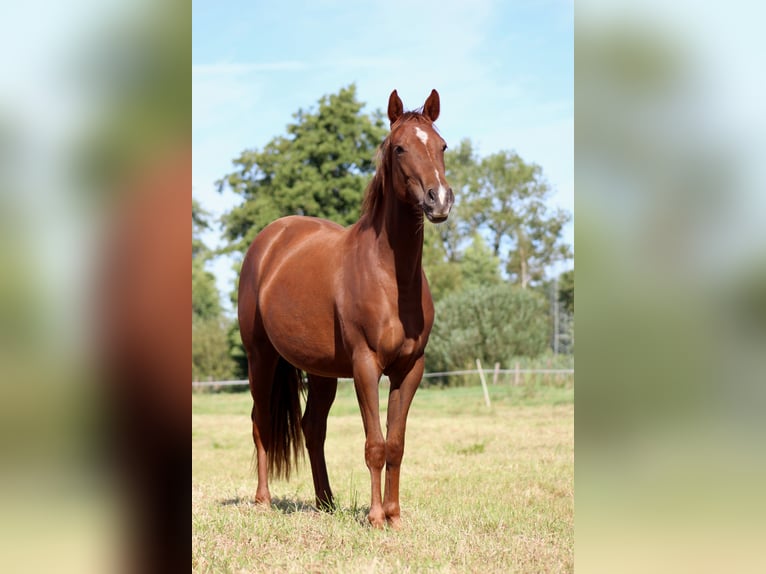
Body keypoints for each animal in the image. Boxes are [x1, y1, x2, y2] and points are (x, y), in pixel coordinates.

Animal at [237, 89, 454, 528]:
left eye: (442, 146)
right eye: (400, 147)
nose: (438, 200)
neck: (390, 276)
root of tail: (269, 240)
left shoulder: (410, 368)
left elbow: (396, 444)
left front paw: (394, 516)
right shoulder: (365, 365)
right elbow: (375, 444)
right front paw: (374, 517)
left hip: (321, 371)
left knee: (311, 428)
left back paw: (325, 502)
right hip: (260, 357)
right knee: (261, 423)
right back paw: (263, 500)